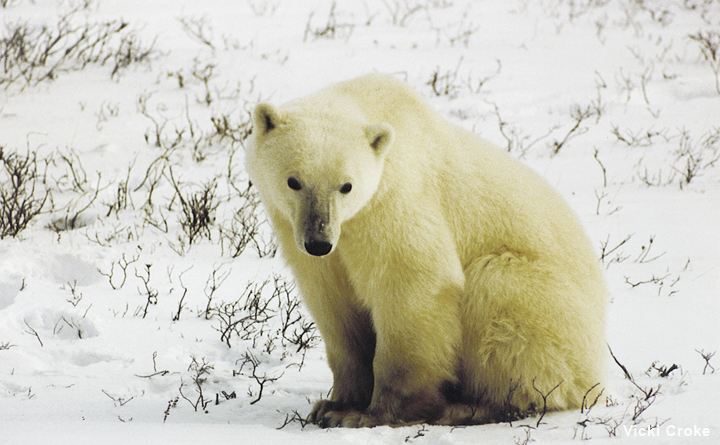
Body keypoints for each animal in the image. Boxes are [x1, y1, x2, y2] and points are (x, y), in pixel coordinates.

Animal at [243, 73, 608, 426]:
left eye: (346, 186)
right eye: (293, 181)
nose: (318, 242)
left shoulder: (395, 202)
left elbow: (413, 284)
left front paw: (372, 414)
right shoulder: (303, 235)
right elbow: (336, 308)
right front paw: (333, 406)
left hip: (554, 314)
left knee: (496, 291)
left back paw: (470, 408)